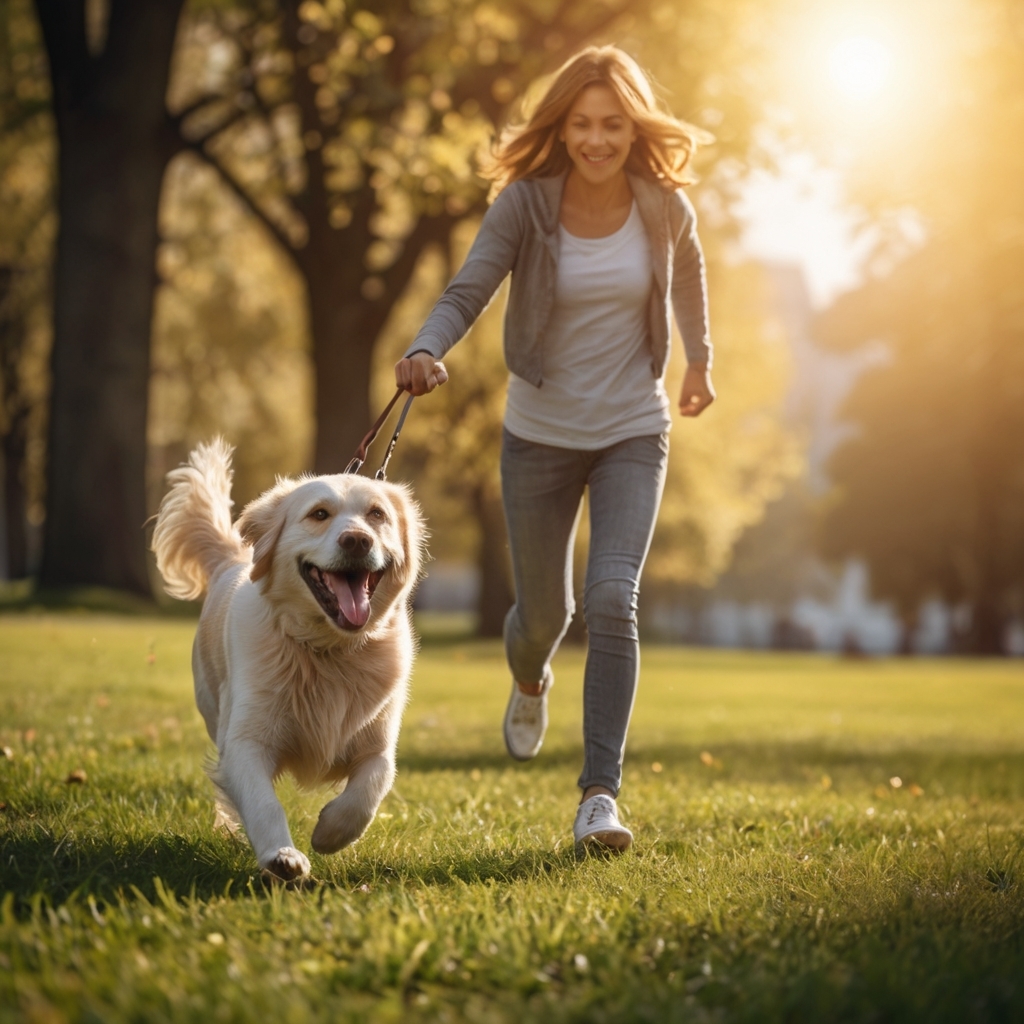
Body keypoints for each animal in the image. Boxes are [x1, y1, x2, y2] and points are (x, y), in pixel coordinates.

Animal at [150, 440, 423, 880]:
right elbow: (262, 801)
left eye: (377, 514)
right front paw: (282, 855)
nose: (357, 541)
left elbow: (371, 788)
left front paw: (331, 831)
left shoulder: (378, 742)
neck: (329, 650)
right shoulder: (245, 741)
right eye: (319, 514)